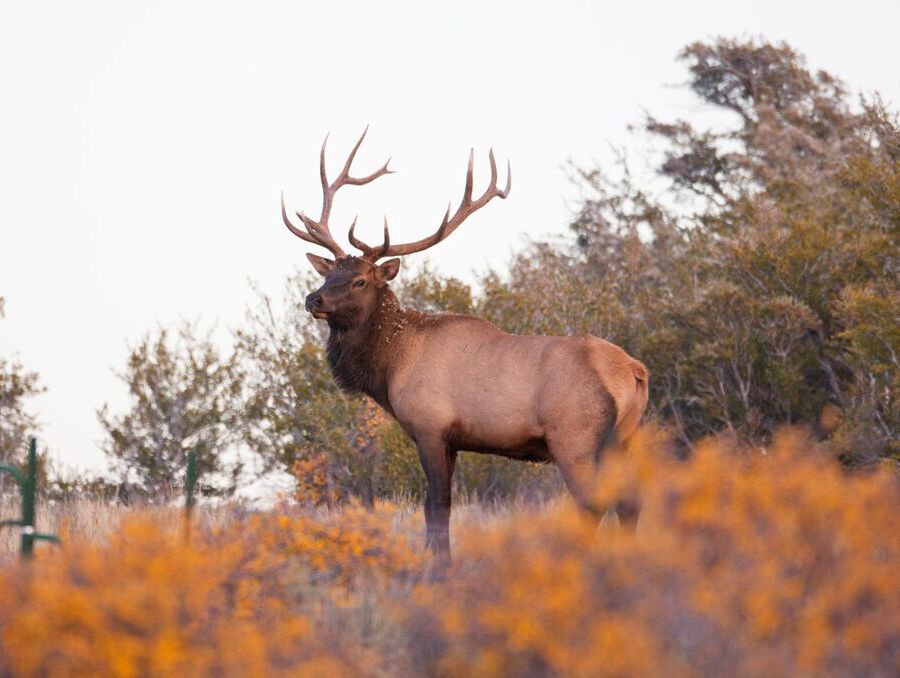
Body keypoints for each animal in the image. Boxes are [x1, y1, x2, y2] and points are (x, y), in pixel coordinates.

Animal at [281, 129, 649, 557]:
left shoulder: (430, 427)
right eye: (329, 273)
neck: (392, 365)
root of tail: (635, 372)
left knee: (592, 502)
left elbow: (437, 507)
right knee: (630, 502)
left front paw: (439, 564)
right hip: (623, 439)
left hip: (576, 437)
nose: (313, 299)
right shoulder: (453, 441)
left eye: (359, 280)